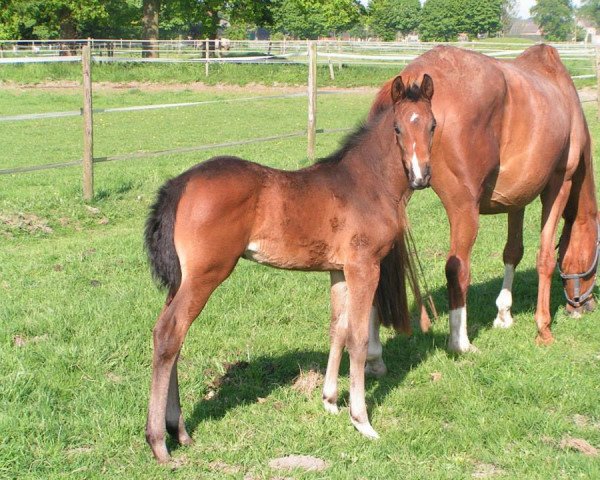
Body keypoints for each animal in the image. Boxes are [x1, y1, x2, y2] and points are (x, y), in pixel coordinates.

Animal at [145, 75, 436, 462]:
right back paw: (159, 442)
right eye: (398, 127)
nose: (420, 176)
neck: (367, 184)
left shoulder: (339, 271)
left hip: (182, 279)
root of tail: (180, 184)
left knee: (171, 337)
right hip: (206, 275)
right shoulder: (364, 267)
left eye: (433, 125)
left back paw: (179, 431)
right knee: (169, 333)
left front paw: (329, 401)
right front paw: (361, 421)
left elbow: (337, 330)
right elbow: (358, 339)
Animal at [368, 45, 596, 352]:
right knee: (457, 268)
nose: (585, 306)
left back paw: (371, 353)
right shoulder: (559, 184)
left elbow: (513, 251)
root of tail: (413, 74)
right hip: (464, 209)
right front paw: (543, 329)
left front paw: (503, 314)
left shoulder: (517, 198)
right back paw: (460, 343)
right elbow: (545, 257)